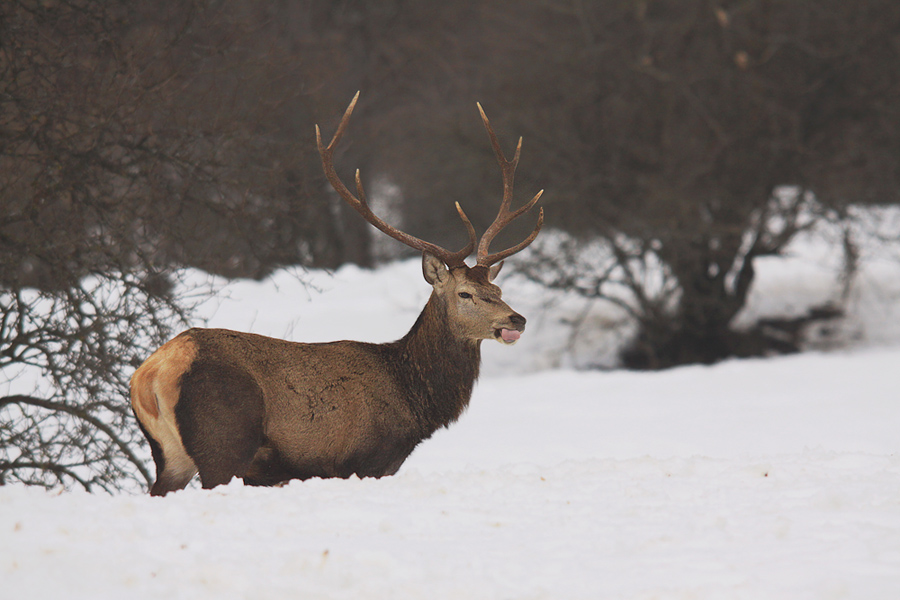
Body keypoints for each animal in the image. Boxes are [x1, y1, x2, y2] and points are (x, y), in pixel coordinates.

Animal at [130, 92, 544, 496]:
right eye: (465, 294)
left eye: (497, 288)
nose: (517, 318)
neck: (411, 399)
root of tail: (151, 374)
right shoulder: (363, 462)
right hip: (224, 440)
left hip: (170, 454)